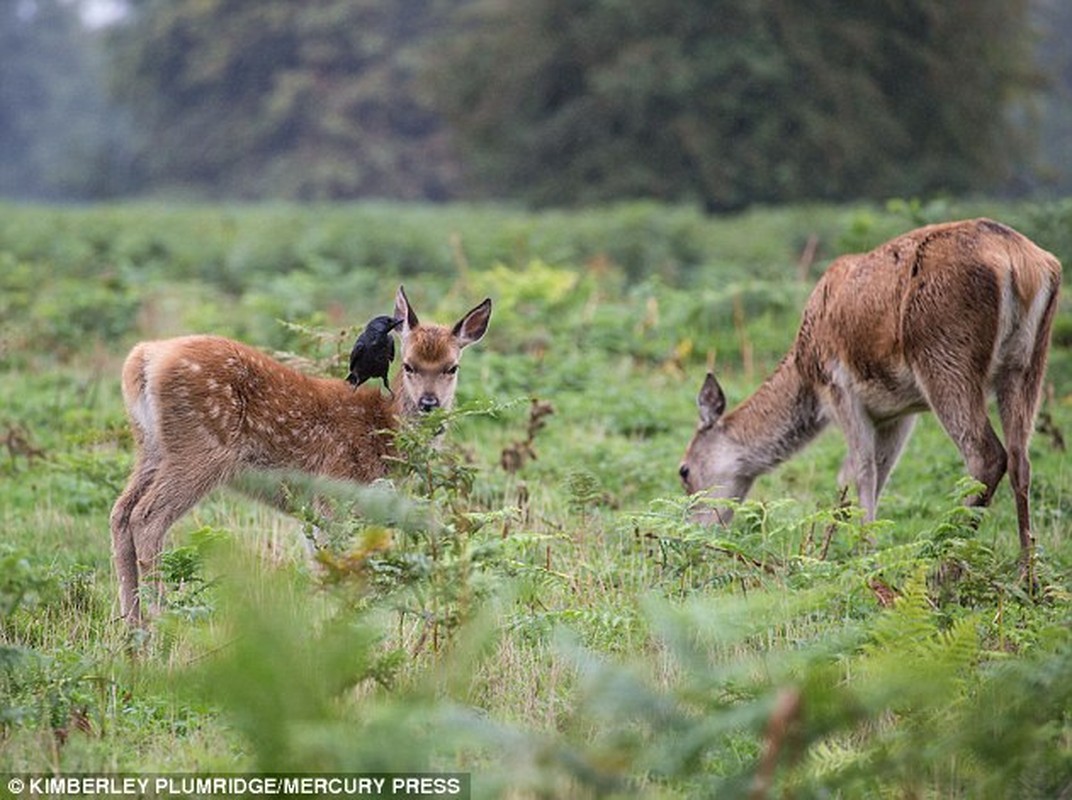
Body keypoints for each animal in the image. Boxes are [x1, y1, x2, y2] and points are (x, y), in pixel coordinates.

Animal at [110, 283, 490, 621]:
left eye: (452, 367)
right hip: (200, 448)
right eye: (409, 365)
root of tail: (144, 358)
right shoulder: (333, 496)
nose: (429, 403)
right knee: (146, 517)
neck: (385, 432)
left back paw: (133, 630)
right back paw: (160, 622)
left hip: (151, 448)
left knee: (120, 513)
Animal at [681, 215, 1059, 557]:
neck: (804, 370)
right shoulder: (900, 410)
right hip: (1028, 361)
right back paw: (1027, 569)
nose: (693, 535)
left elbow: (859, 470)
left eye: (684, 471)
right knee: (1021, 458)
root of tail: (1020, 263)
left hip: (945, 355)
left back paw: (946, 559)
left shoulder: (838, 387)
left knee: (986, 454)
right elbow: (879, 471)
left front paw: (864, 549)